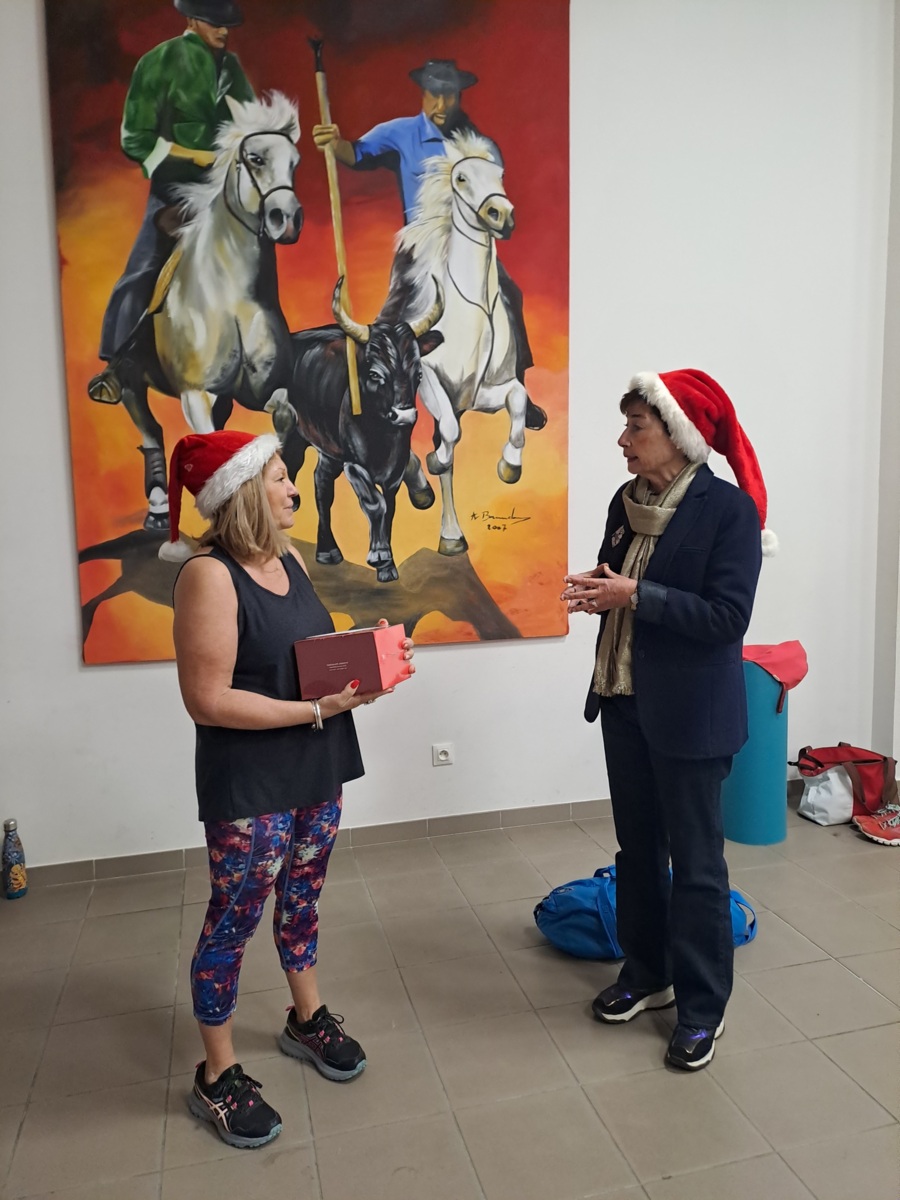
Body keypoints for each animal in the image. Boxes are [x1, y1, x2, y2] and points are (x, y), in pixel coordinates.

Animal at [113, 91, 302, 532]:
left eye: (295, 161)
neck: (231, 298)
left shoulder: (260, 391)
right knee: (149, 428)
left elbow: (284, 419)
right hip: (130, 380)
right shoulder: (194, 395)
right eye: (255, 158)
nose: (287, 220)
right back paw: (158, 507)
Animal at [270, 278, 444, 583]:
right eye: (375, 374)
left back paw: (327, 551)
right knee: (294, 467)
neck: (382, 436)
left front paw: (387, 565)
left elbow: (390, 509)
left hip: (329, 451)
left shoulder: (395, 472)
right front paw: (380, 555)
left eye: (418, 374)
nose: (405, 415)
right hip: (294, 433)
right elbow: (375, 504)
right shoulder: (354, 465)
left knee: (322, 485)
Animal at [379, 132, 533, 555]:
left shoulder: (486, 393)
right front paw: (433, 460)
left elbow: (518, 405)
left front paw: (510, 465)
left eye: (500, 175)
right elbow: (446, 439)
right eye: (461, 178)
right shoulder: (432, 381)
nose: (501, 215)